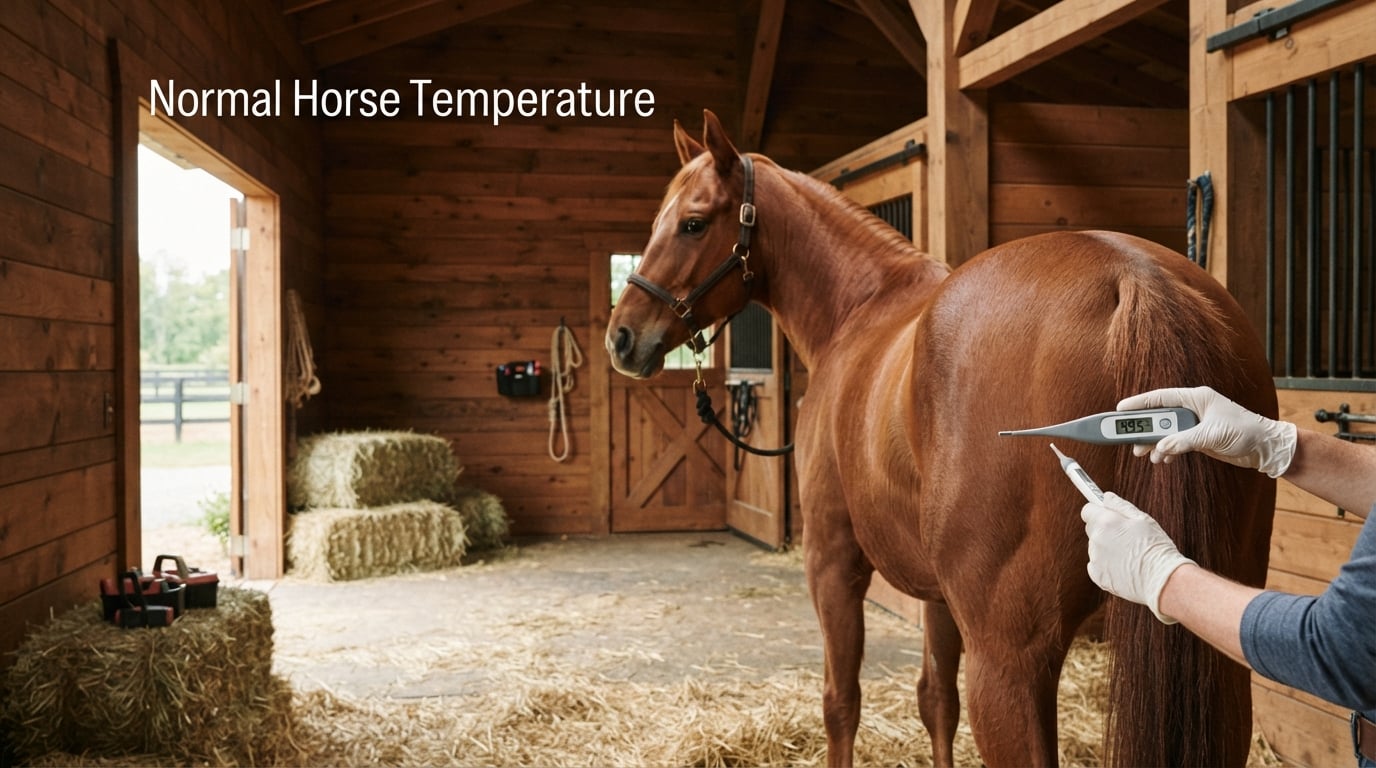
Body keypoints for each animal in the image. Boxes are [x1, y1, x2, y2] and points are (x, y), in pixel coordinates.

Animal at [605, 110, 1276, 767]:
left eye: (692, 224)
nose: (623, 337)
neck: (858, 313)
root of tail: (1133, 276)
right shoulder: (937, 594)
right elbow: (935, 701)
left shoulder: (832, 561)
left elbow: (841, 701)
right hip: (1214, 650)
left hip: (1008, 663)